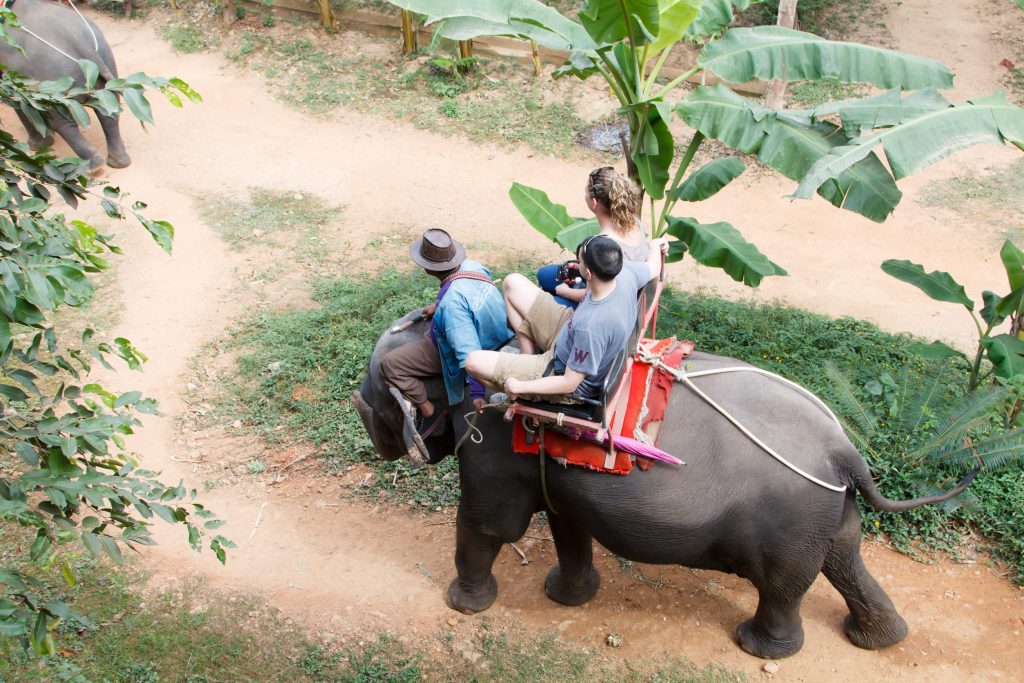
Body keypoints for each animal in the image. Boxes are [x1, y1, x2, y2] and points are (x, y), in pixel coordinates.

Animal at [0, 0, 130, 171]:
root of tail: (79, 41)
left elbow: (17, 103)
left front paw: (37, 145)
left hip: (52, 79)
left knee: (63, 123)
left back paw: (92, 167)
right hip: (106, 57)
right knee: (108, 111)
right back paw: (119, 162)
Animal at [352, 311, 977, 660]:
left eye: (370, 401)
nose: (362, 413)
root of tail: (844, 450)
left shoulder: (491, 446)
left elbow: (490, 525)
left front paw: (463, 607)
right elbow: (567, 522)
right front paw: (566, 596)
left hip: (793, 520)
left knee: (784, 585)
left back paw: (760, 648)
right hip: (830, 513)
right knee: (844, 562)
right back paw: (882, 639)